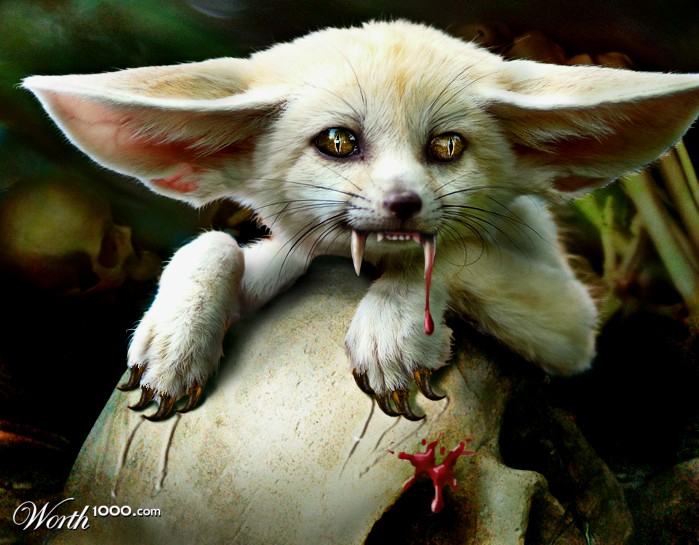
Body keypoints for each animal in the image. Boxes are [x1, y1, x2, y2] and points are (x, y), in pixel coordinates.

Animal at [23, 20, 699, 421]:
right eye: (339, 142)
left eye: (448, 147)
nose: (405, 204)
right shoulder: (297, 252)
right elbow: (214, 242)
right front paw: (173, 343)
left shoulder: (571, 322)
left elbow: (454, 248)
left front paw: (392, 331)